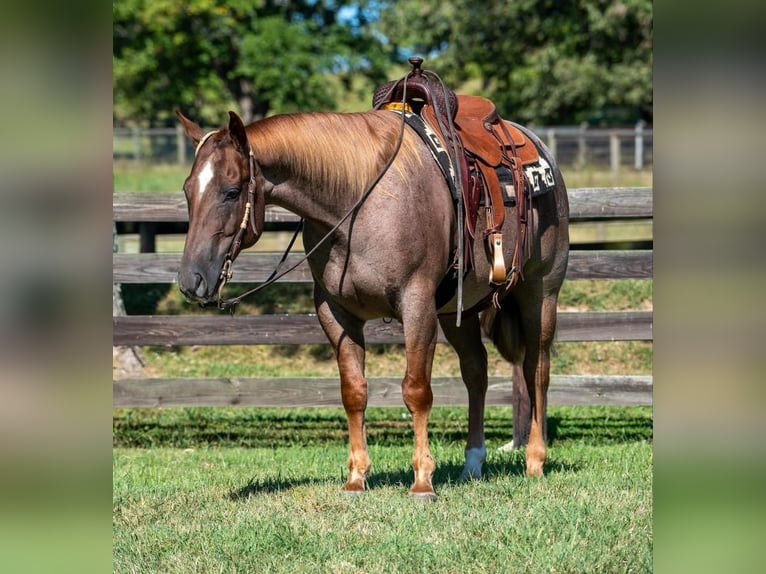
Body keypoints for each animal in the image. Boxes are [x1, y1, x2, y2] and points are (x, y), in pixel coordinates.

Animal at [176, 95, 568, 500]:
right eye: (188, 191)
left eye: (231, 191)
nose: (192, 280)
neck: (358, 202)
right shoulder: (336, 313)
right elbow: (354, 391)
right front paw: (356, 478)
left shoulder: (417, 305)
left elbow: (417, 390)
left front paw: (422, 481)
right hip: (457, 311)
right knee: (476, 371)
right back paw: (473, 464)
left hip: (540, 293)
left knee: (537, 370)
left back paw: (535, 460)